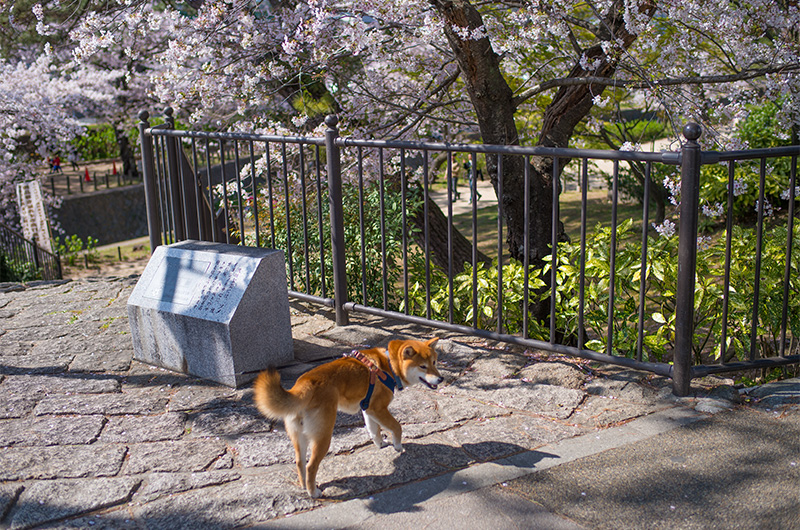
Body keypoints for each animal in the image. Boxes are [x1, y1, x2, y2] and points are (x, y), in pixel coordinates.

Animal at [253, 338, 444, 496]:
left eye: (434, 362)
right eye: (423, 366)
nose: (441, 379)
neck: (388, 365)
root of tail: (302, 385)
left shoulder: (368, 409)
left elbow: (374, 430)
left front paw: (381, 444)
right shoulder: (378, 408)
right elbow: (397, 427)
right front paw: (398, 446)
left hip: (298, 436)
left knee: (300, 462)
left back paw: (303, 486)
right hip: (324, 436)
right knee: (311, 465)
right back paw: (313, 492)